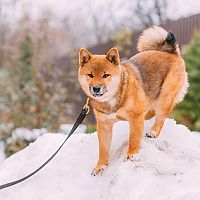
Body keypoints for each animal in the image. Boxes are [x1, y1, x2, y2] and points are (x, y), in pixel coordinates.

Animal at [77, 26, 189, 175]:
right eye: (90, 75)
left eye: (106, 75)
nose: (96, 88)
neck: (114, 98)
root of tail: (171, 52)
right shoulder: (104, 126)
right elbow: (103, 149)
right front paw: (100, 166)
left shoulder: (135, 118)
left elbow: (134, 139)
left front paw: (132, 154)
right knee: (151, 112)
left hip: (164, 97)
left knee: (161, 116)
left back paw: (153, 131)